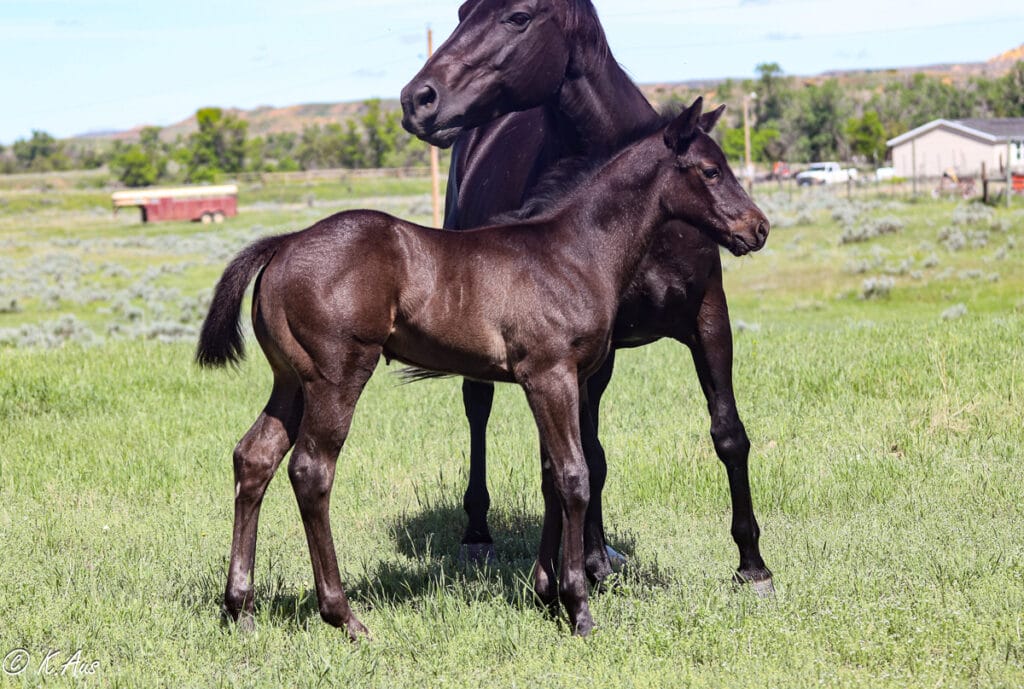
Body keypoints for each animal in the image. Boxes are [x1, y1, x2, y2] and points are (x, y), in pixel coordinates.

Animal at [197, 100, 768, 637]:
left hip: (291, 382)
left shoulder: (557, 381)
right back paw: (344, 616)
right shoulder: (551, 375)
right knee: (311, 471)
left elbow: (550, 476)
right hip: (336, 376)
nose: (758, 228)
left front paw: (545, 591)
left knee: (254, 457)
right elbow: (575, 477)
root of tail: (283, 244)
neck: (574, 251)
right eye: (710, 170)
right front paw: (578, 607)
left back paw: (241, 608)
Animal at [401, 0, 775, 593]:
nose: (418, 100)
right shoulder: (576, 351)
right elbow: (583, 456)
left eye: (518, 16)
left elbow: (728, 434)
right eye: (460, 12)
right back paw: (485, 534)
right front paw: (584, 566)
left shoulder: (706, 320)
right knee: (479, 407)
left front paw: (752, 563)